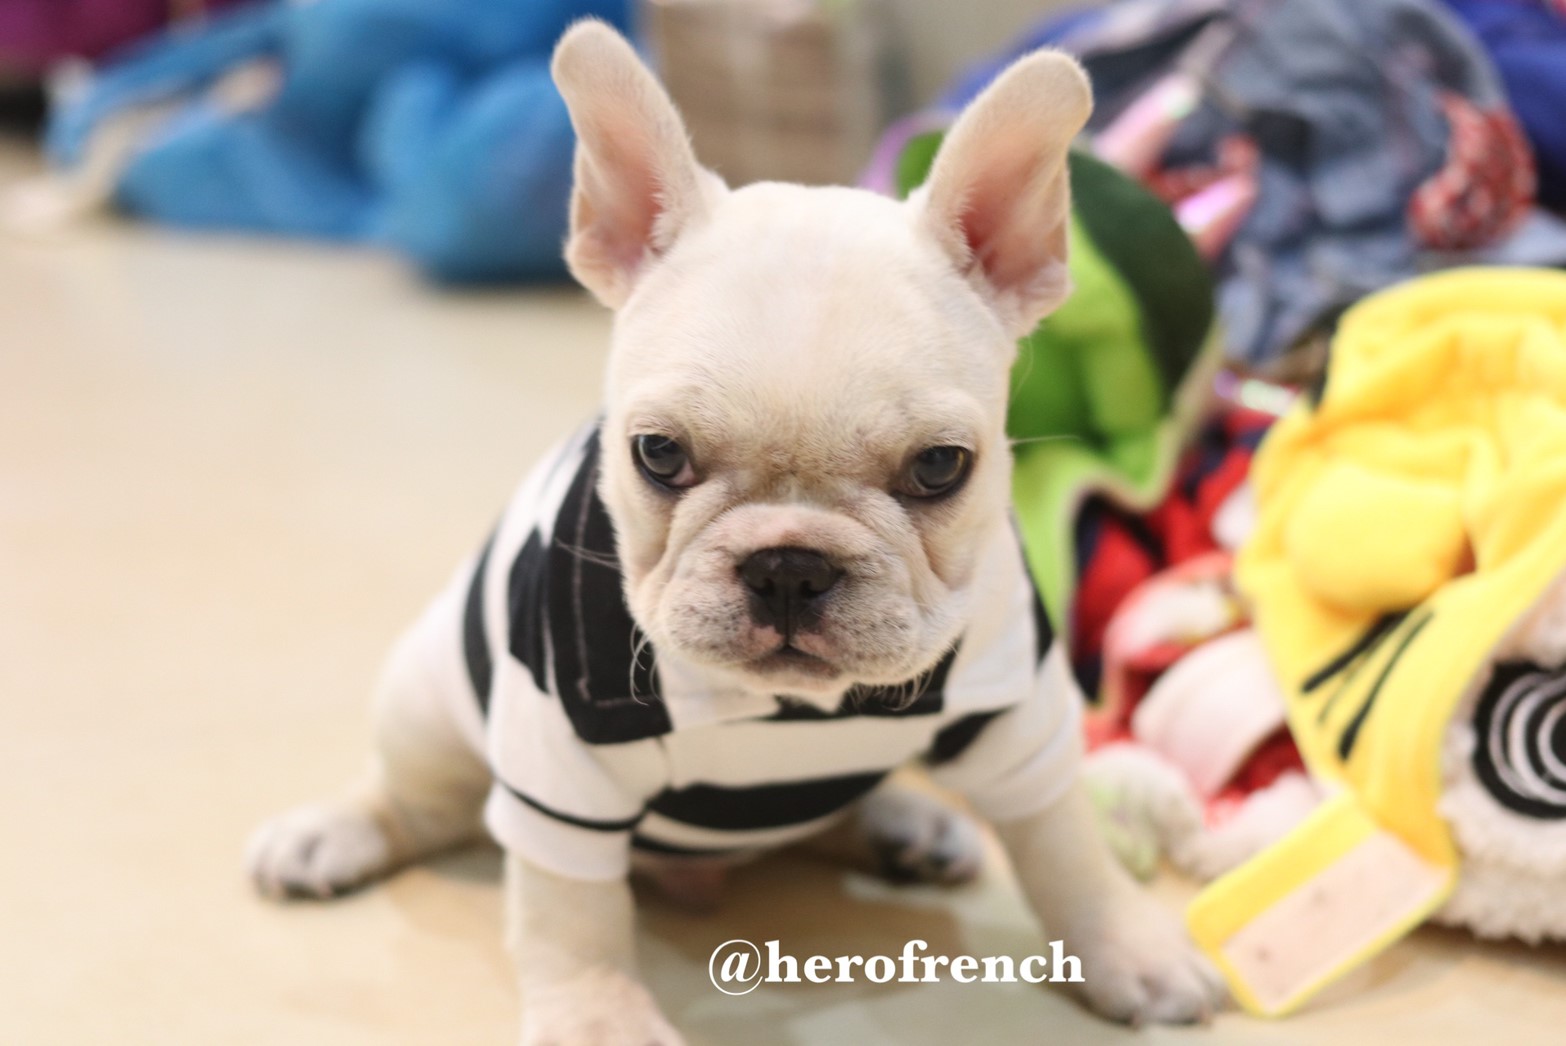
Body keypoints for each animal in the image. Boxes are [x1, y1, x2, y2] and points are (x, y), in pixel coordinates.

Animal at [246, 20, 1225, 1043]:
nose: (789, 564)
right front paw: (598, 1018)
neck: (786, 714)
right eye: (659, 454)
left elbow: (1067, 846)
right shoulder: (560, 769)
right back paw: (329, 834)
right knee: (418, 803)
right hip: (423, 707)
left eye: (939, 467)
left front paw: (1130, 947)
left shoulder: (1021, 715)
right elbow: (569, 912)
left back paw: (906, 827)